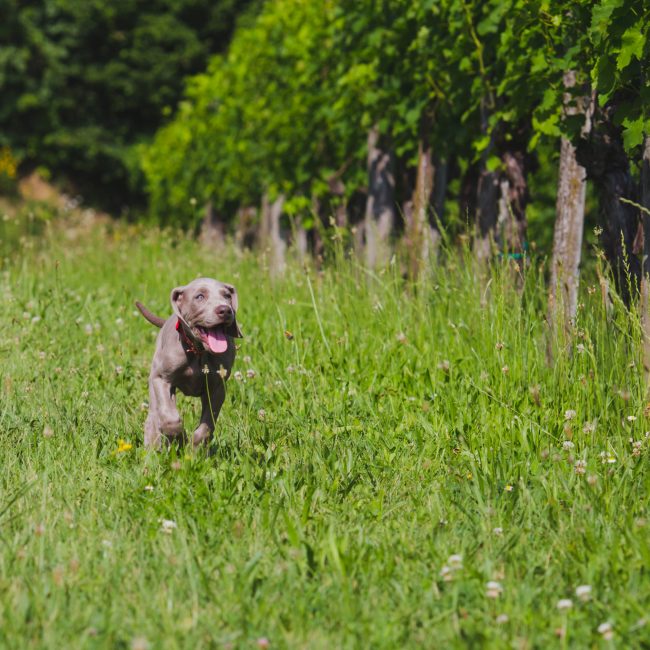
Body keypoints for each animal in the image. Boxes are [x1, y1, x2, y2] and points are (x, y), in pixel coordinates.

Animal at [135, 276, 242, 448]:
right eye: (200, 296)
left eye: (227, 296)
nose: (225, 310)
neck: (199, 352)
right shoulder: (162, 380)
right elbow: (170, 419)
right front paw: (180, 438)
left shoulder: (217, 389)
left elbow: (206, 426)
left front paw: (193, 446)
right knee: (153, 416)